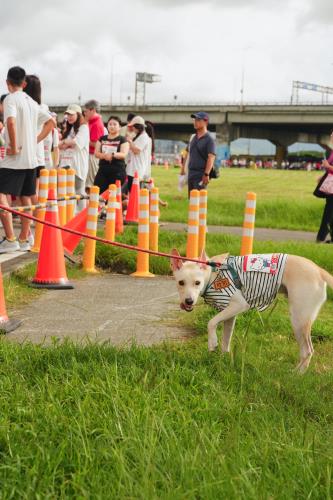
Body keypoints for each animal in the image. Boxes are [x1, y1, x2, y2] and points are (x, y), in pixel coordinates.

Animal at [171, 248, 332, 374]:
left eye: (197, 283)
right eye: (181, 283)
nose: (188, 301)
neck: (212, 275)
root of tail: (319, 270)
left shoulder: (239, 305)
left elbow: (211, 322)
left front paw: (212, 342)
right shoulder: (230, 316)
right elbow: (226, 340)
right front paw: (223, 360)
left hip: (298, 320)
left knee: (307, 350)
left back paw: (297, 374)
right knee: (305, 351)